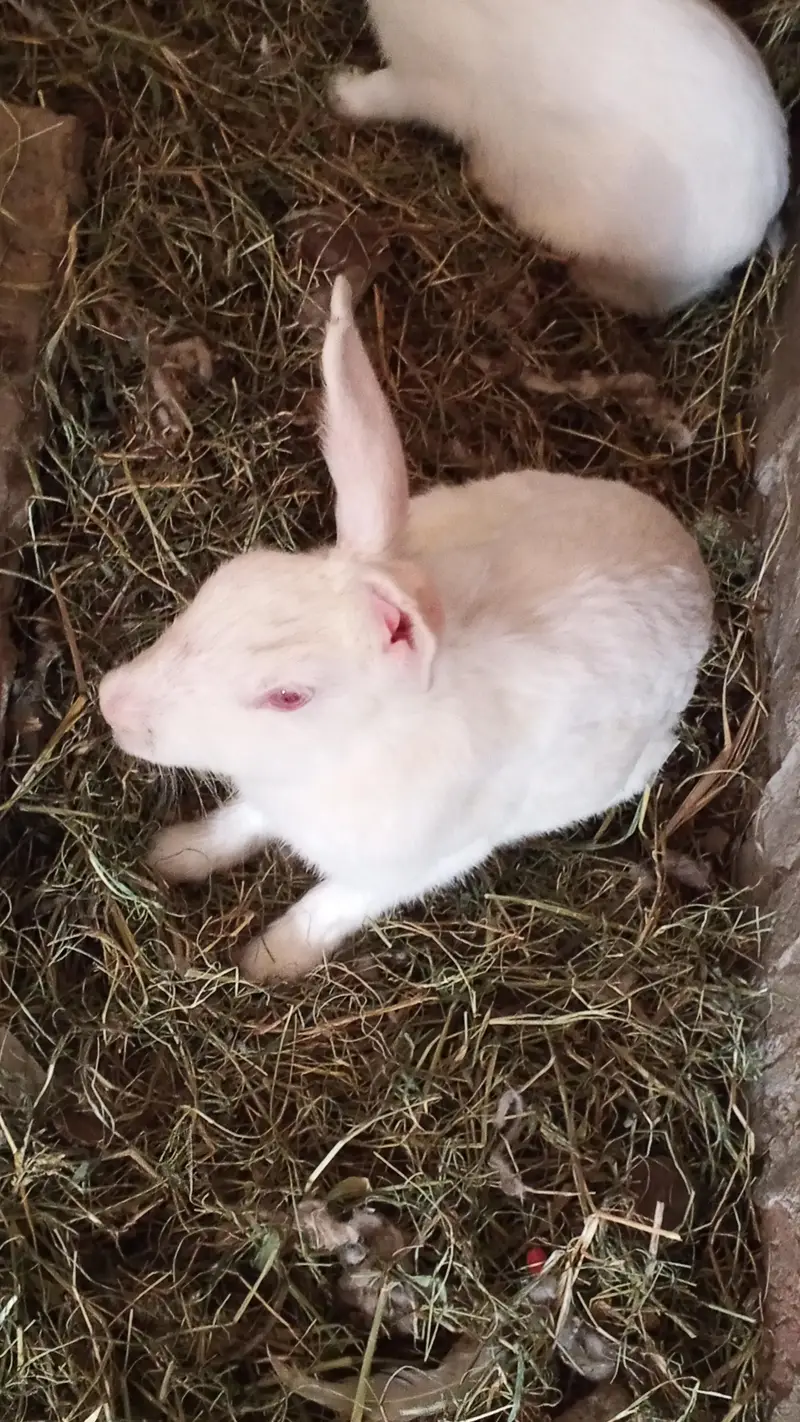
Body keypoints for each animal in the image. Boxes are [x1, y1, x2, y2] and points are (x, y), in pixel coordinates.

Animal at [98, 275, 713, 983]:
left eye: (288, 697)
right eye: (223, 583)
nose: (111, 703)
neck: (350, 751)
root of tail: (691, 560)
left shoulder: (410, 867)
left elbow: (325, 907)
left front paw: (266, 963)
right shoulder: (266, 797)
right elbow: (236, 824)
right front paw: (174, 856)